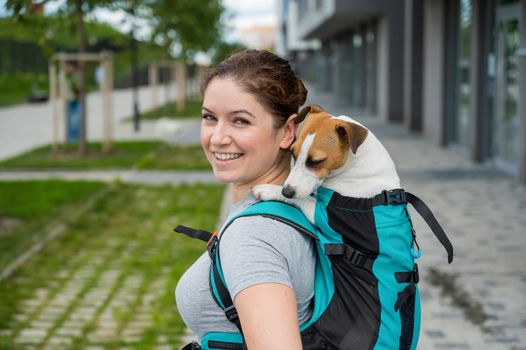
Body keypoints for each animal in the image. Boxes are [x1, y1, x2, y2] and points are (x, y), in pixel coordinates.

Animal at [254, 105, 402, 223]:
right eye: (293, 153)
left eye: (316, 162)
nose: (286, 192)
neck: (353, 166)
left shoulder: (325, 215)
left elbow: (304, 199)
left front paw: (270, 190)